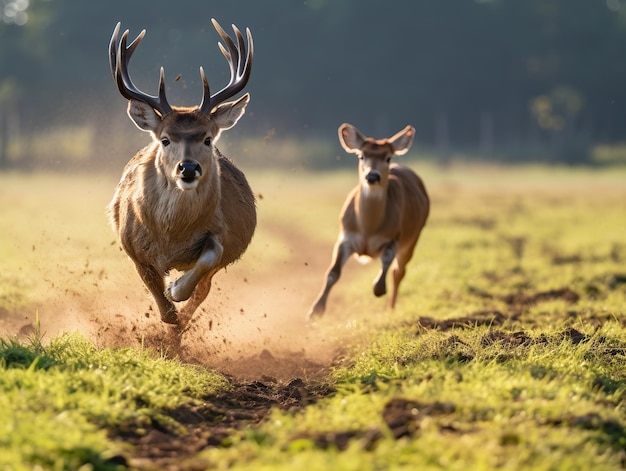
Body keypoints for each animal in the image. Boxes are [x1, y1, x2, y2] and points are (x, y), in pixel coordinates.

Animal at [108, 19, 255, 328]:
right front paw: (168, 312)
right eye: (165, 139)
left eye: (208, 139)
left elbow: (210, 258)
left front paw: (176, 290)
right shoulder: (132, 246)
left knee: (204, 288)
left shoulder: (222, 235)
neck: (171, 235)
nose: (188, 168)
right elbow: (156, 294)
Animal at [308, 121, 428, 322]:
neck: (368, 228)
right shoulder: (345, 236)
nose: (372, 176)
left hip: (414, 236)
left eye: (388, 157)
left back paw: (391, 308)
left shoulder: (394, 236)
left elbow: (384, 270)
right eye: (361, 155)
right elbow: (332, 273)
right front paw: (315, 311)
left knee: (399, 271)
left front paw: (379, 289)